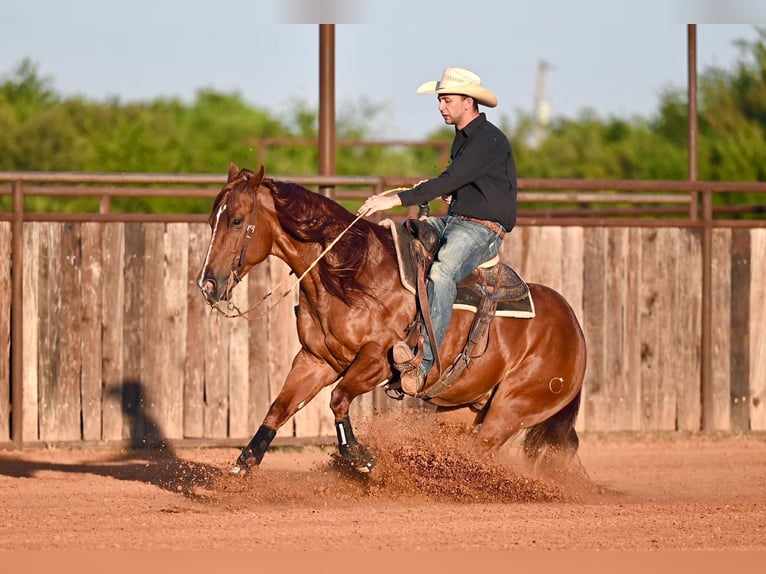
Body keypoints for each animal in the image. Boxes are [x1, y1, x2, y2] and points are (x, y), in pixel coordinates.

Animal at [197, 163, 588, 479]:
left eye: (236, 220)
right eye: (211, 219)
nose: (207, 284)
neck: (353, 272)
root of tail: (576, 332)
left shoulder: (377, 360)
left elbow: (338, 398)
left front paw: (358, 457)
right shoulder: (315, 359)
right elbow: (279, 408)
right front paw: (244, 463)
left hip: (511, 408)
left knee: (481, 449)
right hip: (461, 408)